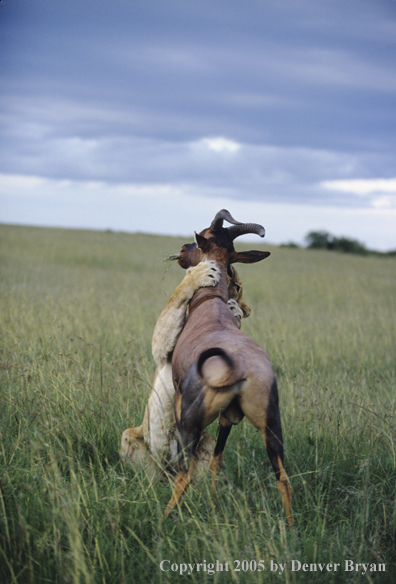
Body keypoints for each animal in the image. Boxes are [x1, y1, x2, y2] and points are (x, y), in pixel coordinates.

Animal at [166, 209, 292, 524]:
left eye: (202, 236)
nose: (182, 251)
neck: (211, 304)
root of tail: (239, 367)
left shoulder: (178, 399)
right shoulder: (229, 417)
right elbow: (217, 460)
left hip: (191, 421)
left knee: (184, 473)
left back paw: (163, 518)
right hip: (270, 425)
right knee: (283, 478)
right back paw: (291, 526)